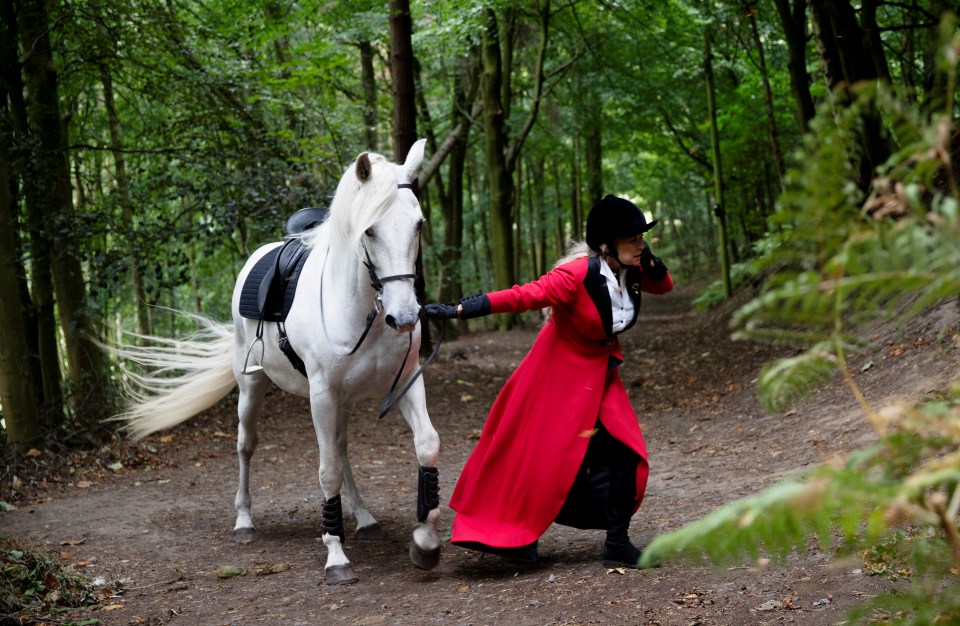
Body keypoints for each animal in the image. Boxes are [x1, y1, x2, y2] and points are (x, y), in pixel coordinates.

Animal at [110, 139, 440, 584]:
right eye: (369, 230)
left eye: (418, 224)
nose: (404, 317)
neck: (361, 311)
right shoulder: (322, 394)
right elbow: (327, 470)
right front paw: (335, 555)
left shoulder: (405, 382)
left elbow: (426, 446)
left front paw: (425, 540)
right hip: (252, 387)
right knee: (247, 446)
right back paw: (244, 522)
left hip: (343, 400)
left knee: (341, 447)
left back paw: (363, 516)